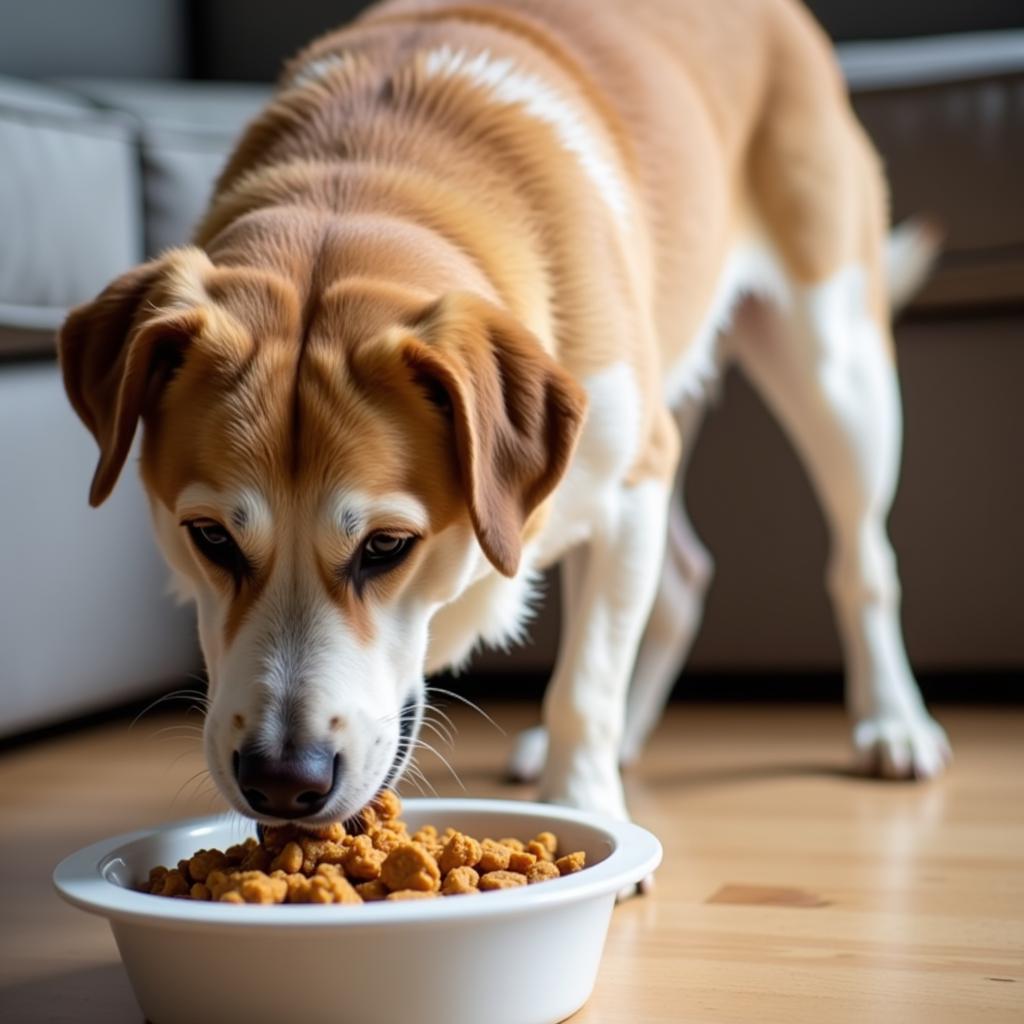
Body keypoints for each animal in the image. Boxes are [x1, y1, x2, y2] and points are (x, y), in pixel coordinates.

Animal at [59, 0, 946, 827]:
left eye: (386, 547)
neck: (364, 175)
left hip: (837, 365)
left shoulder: (631, 480)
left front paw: (583, 805)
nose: (282, 783)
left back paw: (892, 723)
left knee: (863, 562)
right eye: (209, 538)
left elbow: (585, 682)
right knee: (683, 580)